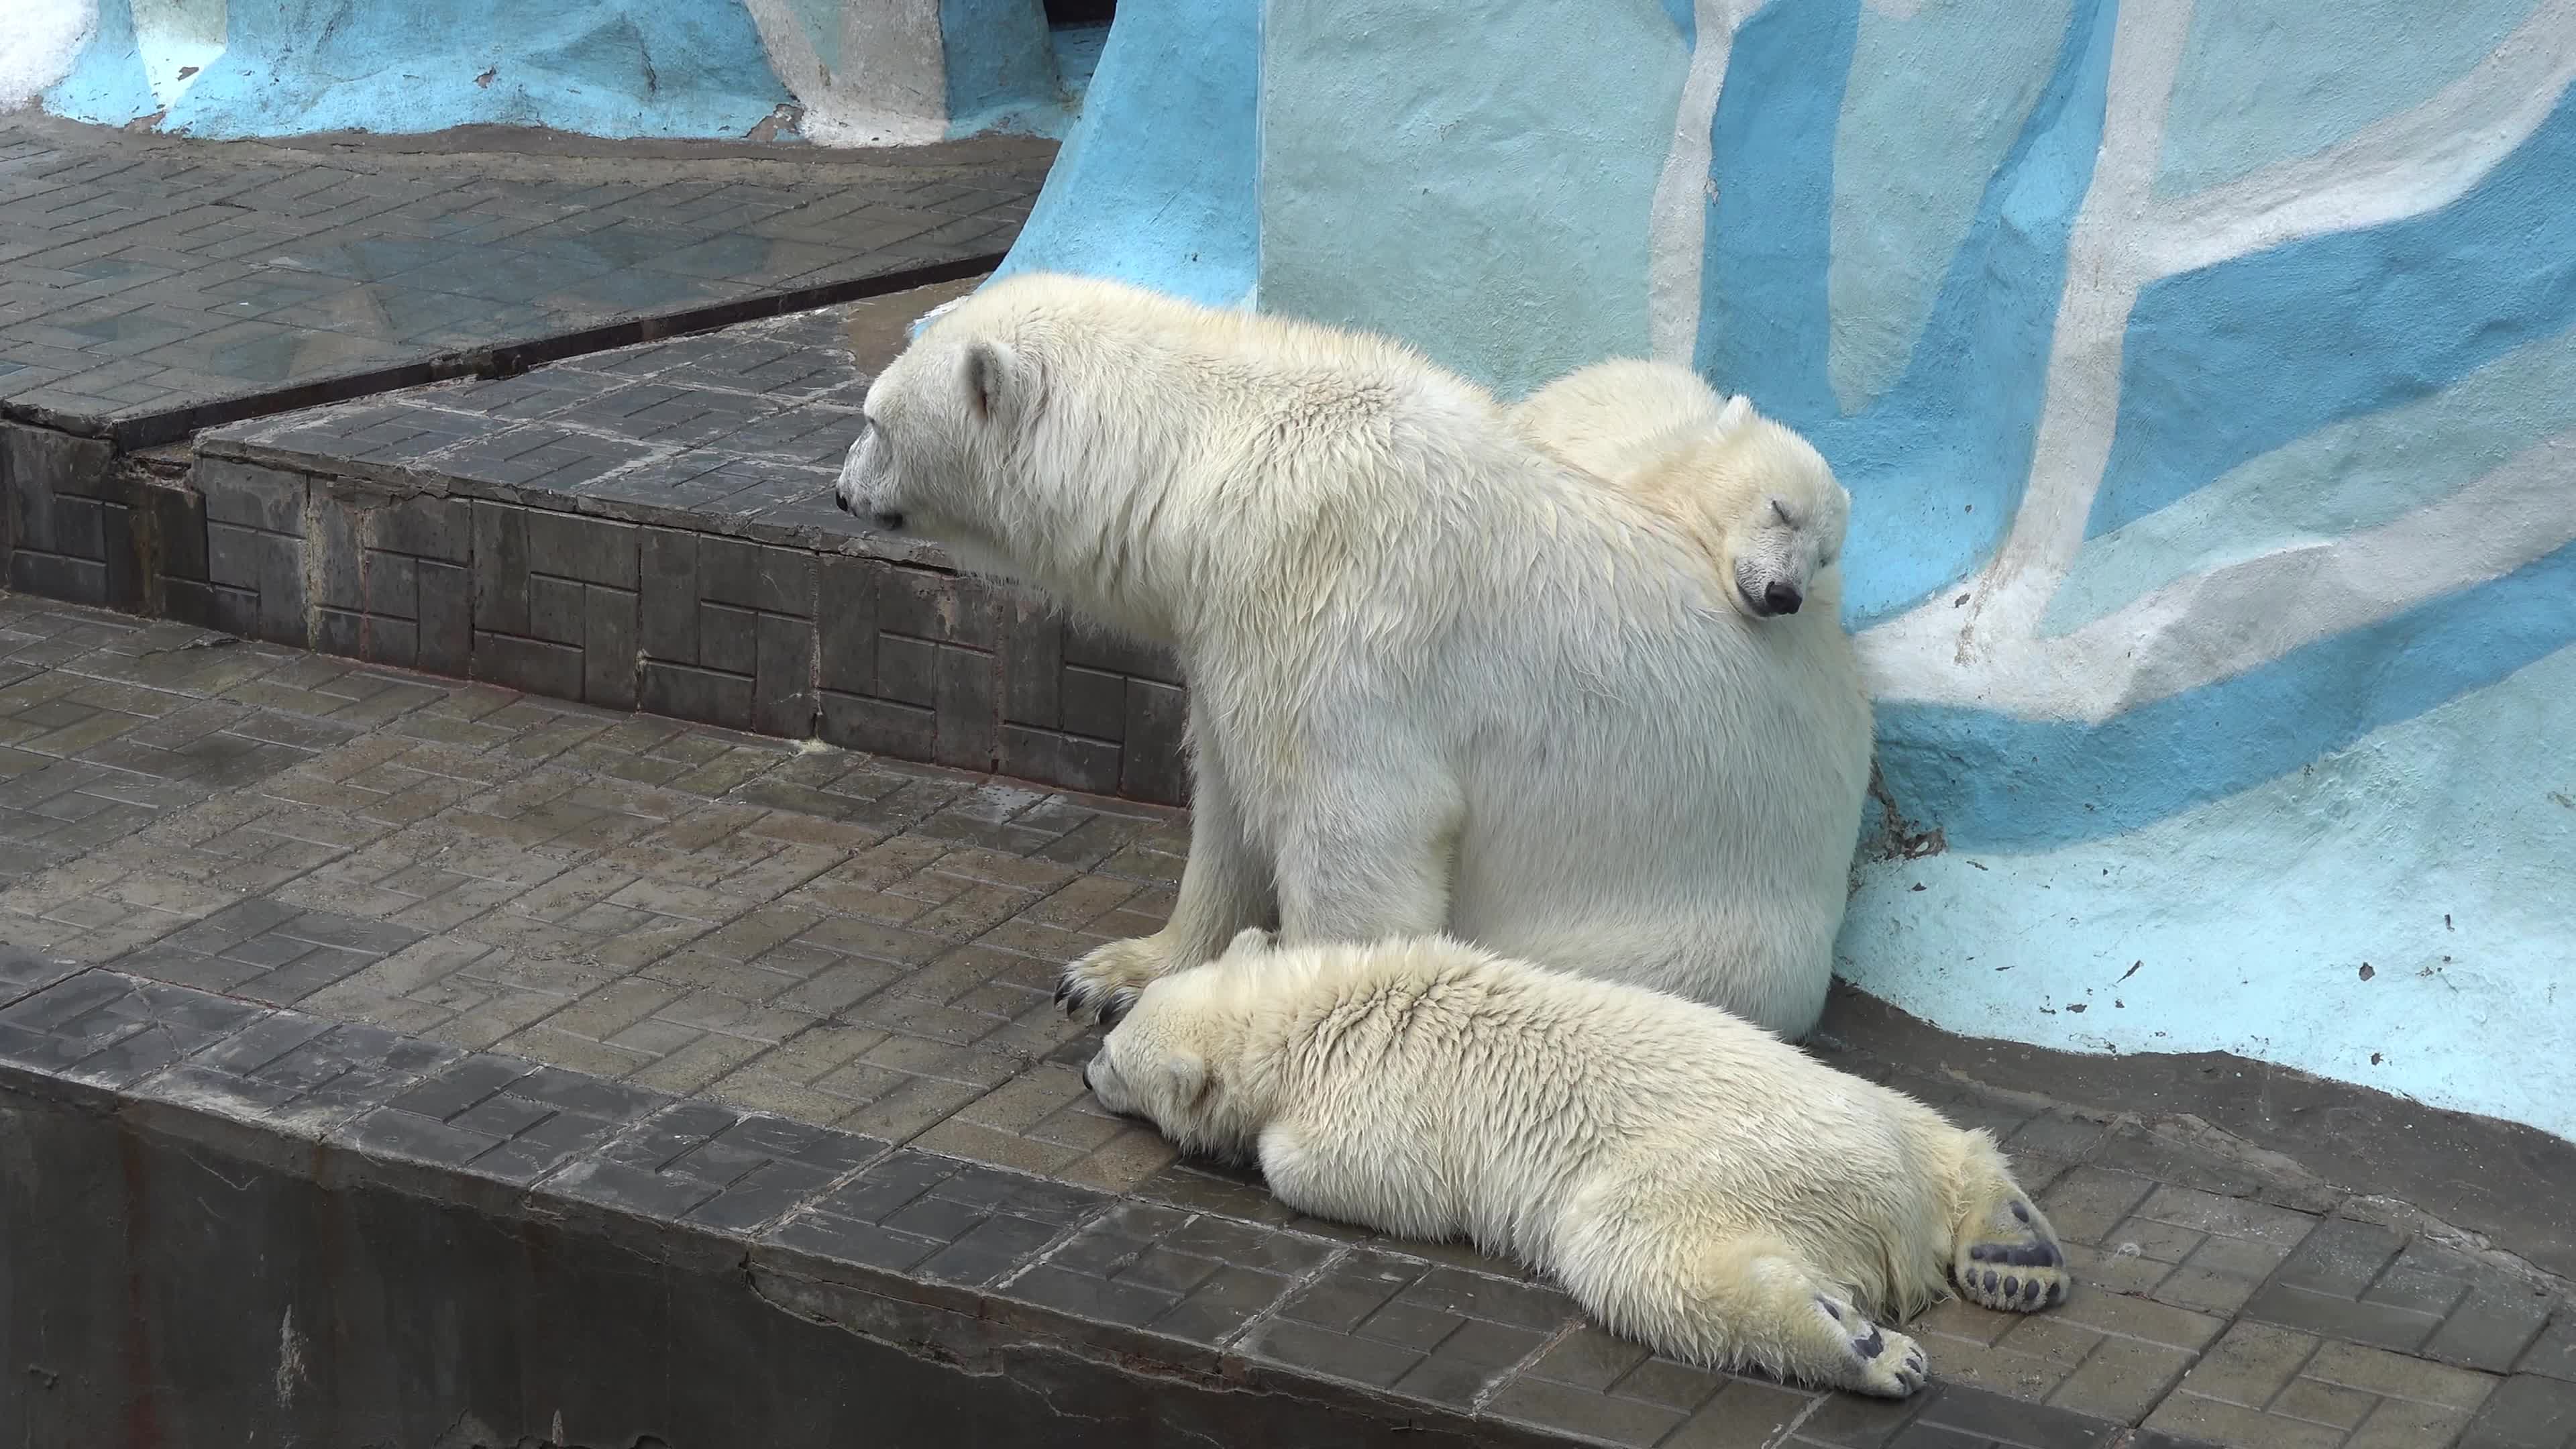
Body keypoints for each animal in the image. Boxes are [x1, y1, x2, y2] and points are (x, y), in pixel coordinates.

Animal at [839, 270, 1875, 1031]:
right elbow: (1230, 801)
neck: (1218, 458)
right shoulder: (1232, 628)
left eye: (873, 421)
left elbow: (1358, 831)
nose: (843, 492)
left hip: (1694, 922)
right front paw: (1114, 973)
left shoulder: (1336, 601)